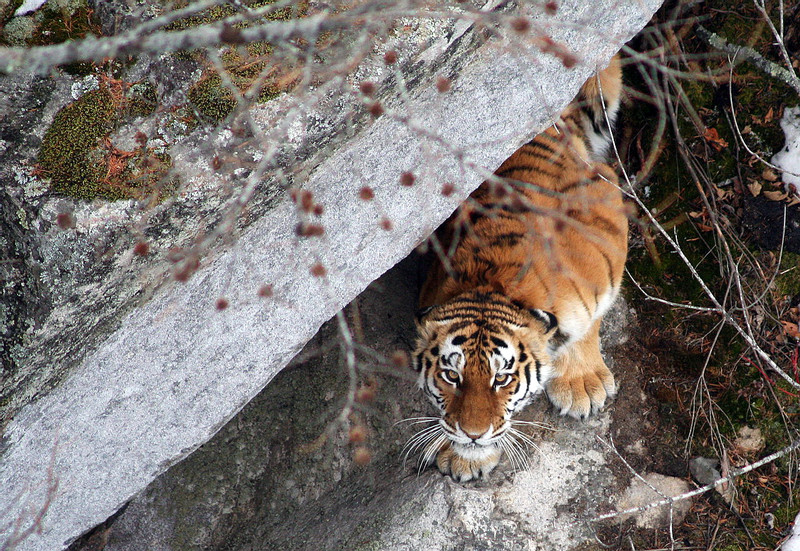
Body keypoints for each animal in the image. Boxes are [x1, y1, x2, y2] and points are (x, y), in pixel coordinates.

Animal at [410, 54, 628, 480]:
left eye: (502, 379)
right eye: (451, 376)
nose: (473, 433)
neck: (492, 284)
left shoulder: (608, 214)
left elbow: (591, 321)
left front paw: (582, 384)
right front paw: (464, 456)